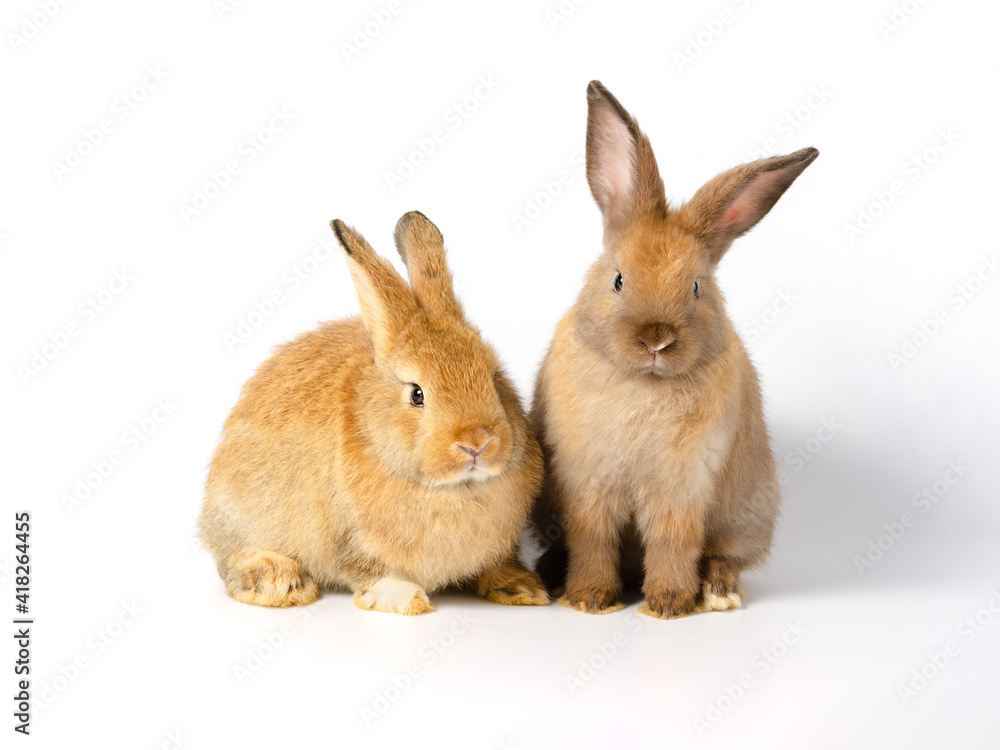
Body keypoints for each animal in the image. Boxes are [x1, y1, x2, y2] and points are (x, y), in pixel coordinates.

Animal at [198, 211, 549, 615]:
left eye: (493, 377)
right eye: (417, 395)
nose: (476, 443)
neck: (453, 488)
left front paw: (522, 588)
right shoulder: (352, 540)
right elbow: (373, 572)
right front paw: (406, 600)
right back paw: (278, 581)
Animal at [531, 81, 818, 619]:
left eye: (698, 288)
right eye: (618, 279)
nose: (655, 340)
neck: (643, 382)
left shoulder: (681, 489)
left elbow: (673, 542)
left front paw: (667, 605)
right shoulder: (587, 487)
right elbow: (593, 539)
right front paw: (590, 600)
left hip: (747, 516)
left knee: (725, 556)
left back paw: (719, 593)